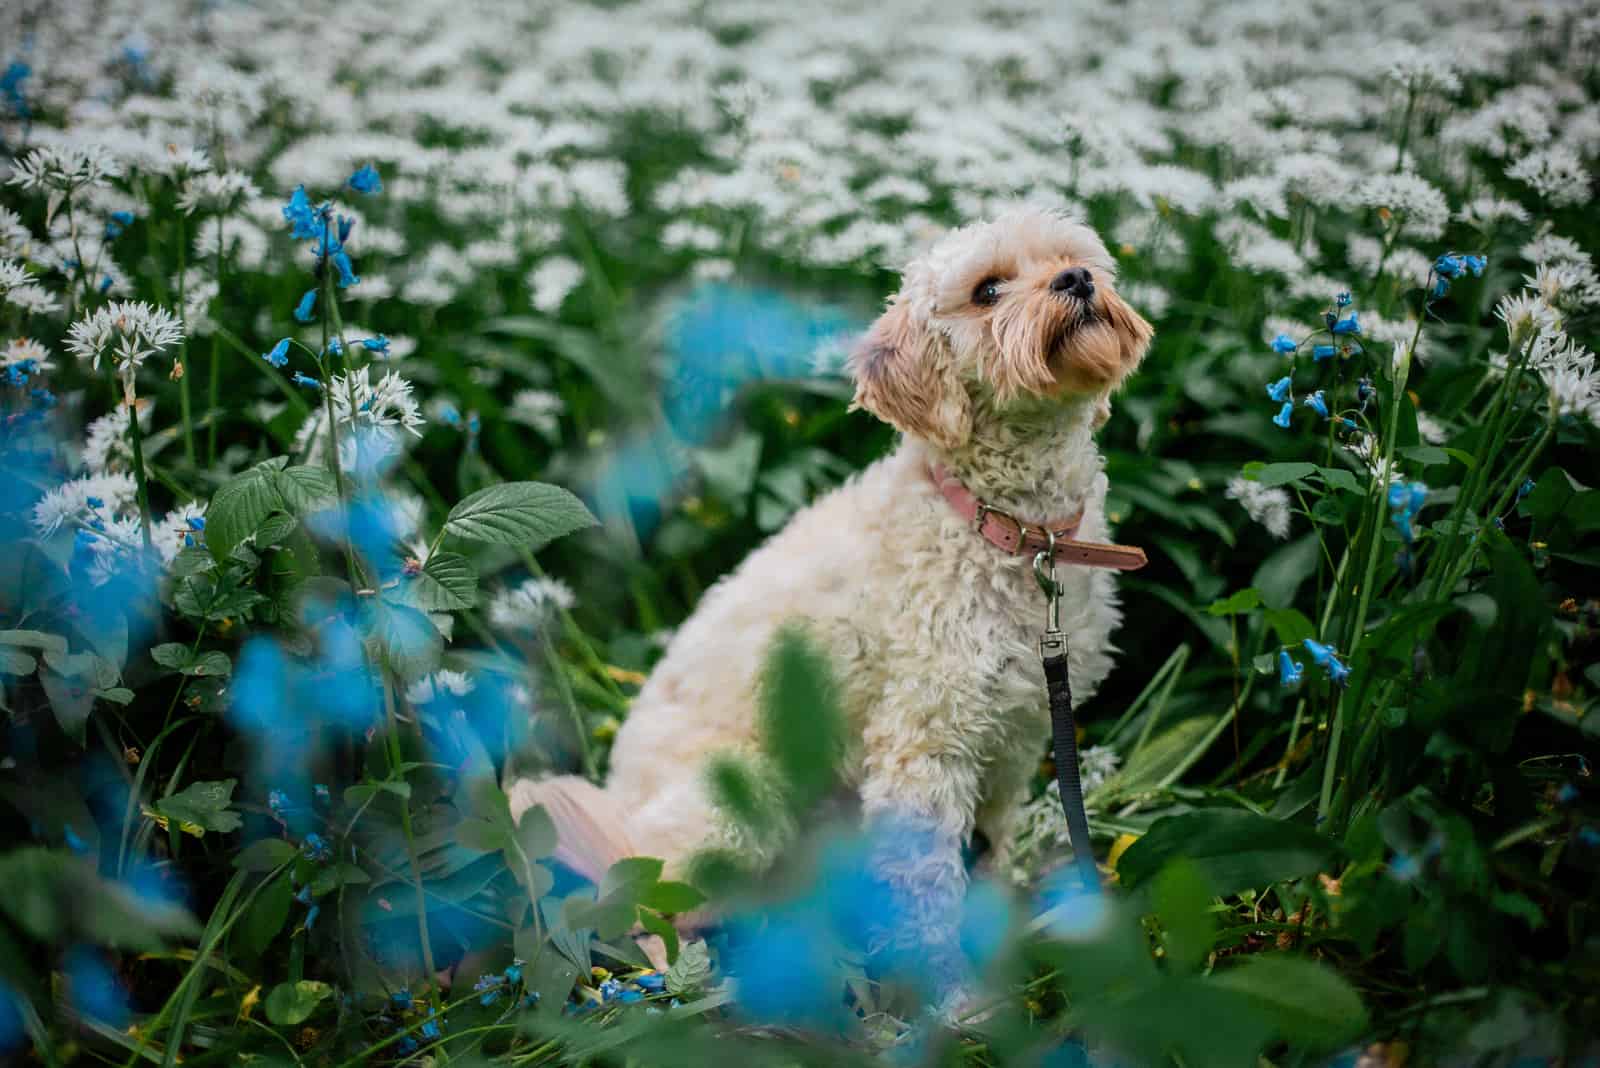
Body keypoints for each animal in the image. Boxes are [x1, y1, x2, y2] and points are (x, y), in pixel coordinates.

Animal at [512, 202, 1152, 1010]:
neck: (1010, 528)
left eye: (1077, 260)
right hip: (738, 801)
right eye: (987, 290)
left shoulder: (1016, 740)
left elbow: (993, 855)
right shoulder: (923, 749)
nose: (1076, 283)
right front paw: (956, 1002)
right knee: (642, 899)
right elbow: (929, 889)